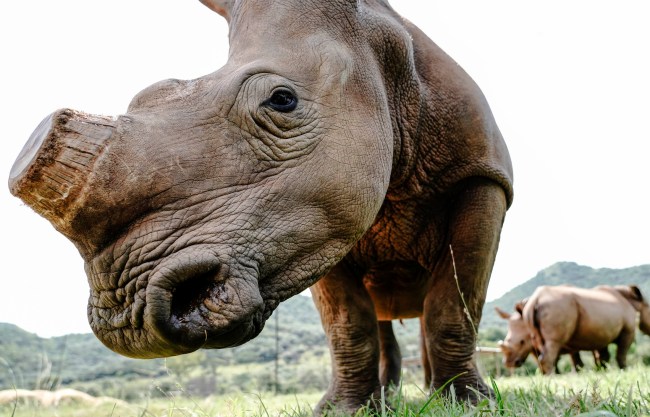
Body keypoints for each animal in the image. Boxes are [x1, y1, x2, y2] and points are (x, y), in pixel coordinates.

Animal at [8, 0, 513, 413]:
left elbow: (454, 303)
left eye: (282, 100)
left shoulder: (482, 177)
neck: (387, 62)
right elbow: (348, 321)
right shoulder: (324, 214)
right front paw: (343, 411)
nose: (124, 313)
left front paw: (469, 404)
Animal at [521, 285, 650, 375]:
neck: (634, 302)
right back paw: (551, 377)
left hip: (535, 314)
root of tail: (535, 300)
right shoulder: (628, 331)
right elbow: (621, 353)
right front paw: (624, 370)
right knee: (554, 343)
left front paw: (603, 371)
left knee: (540, 345)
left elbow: (603, 356)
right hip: (557, 306)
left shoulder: (602, 333)